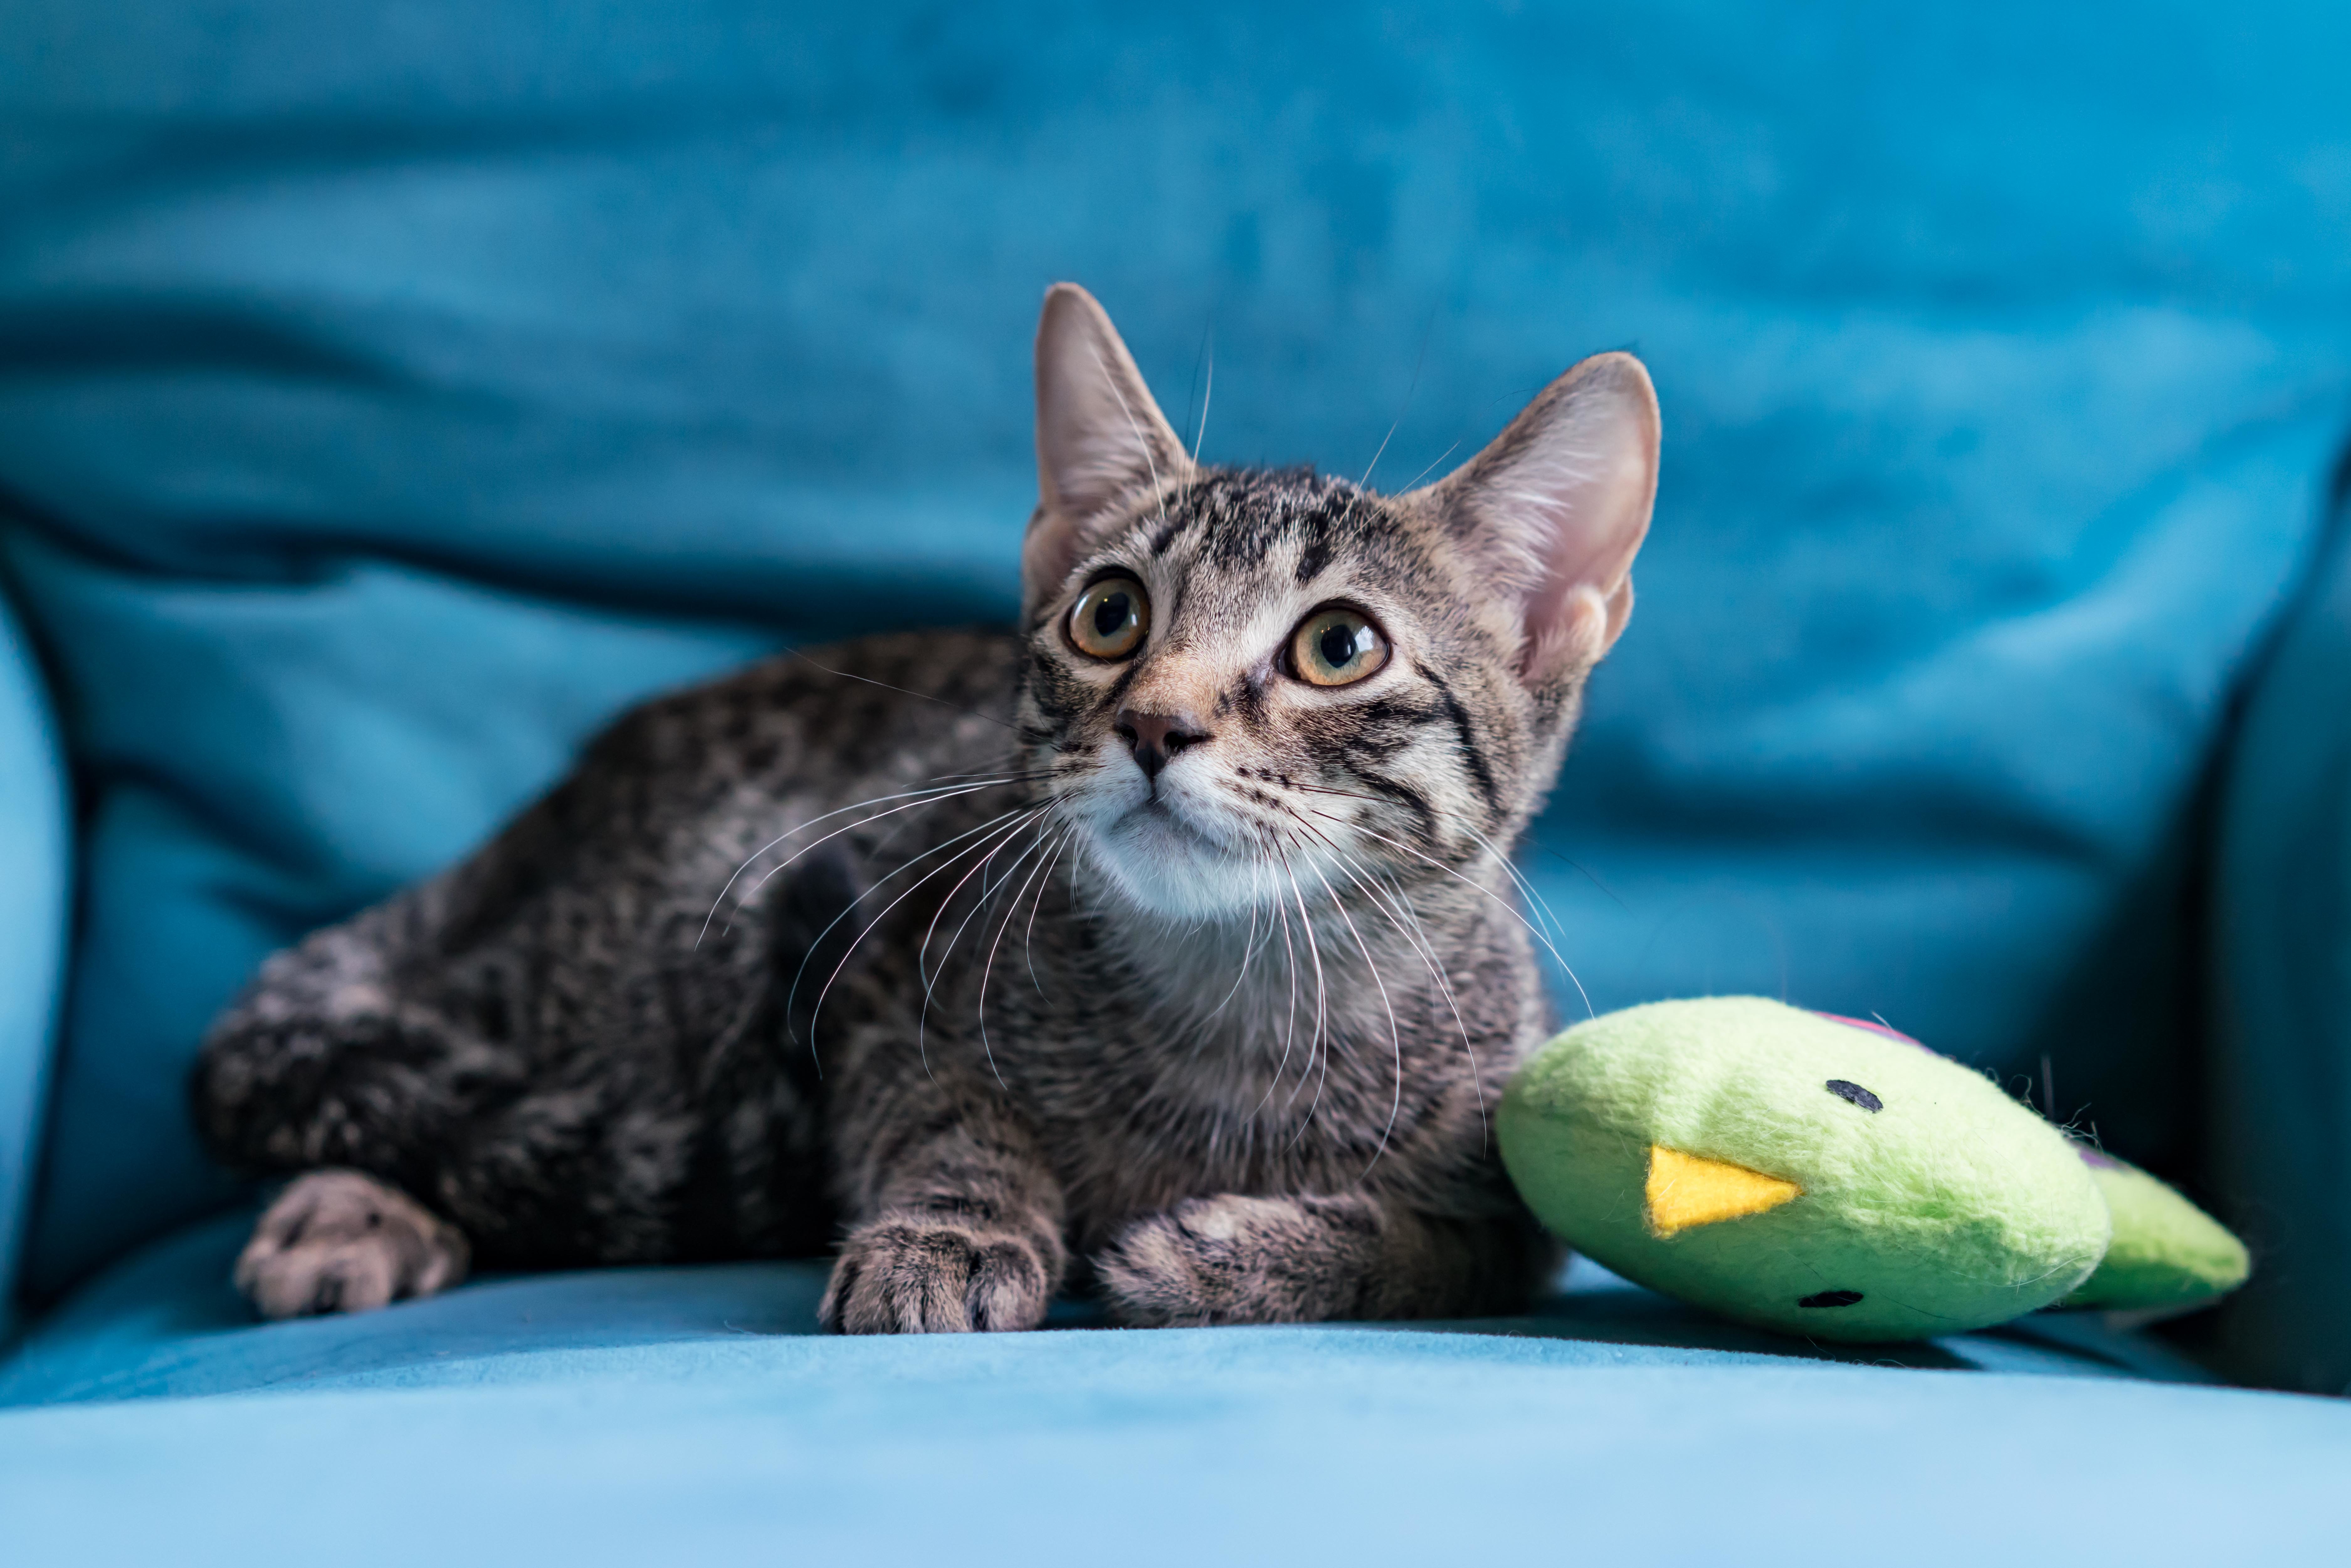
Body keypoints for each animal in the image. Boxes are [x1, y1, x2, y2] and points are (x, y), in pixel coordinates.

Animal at [193, 288, 1665, 1335]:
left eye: (1338, 646)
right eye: (1108, 614)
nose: (1154, 722)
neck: (1232, 997)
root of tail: (540, 821)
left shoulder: (1504, 1184)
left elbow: (1448, 1250)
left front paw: (1251, 1250)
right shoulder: (870, 946)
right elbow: (947, 1105)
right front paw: (955, 1227)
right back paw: (346, 1210)